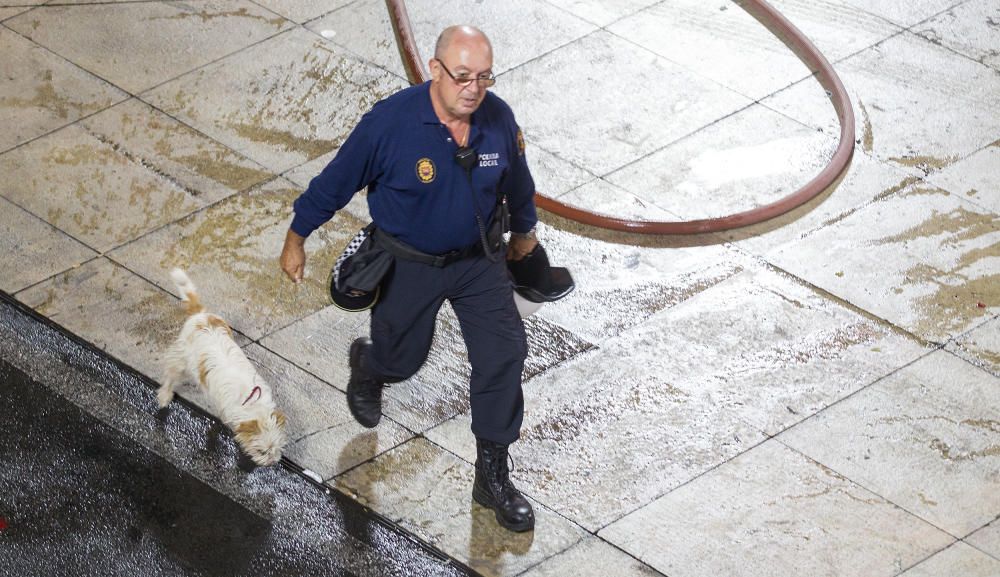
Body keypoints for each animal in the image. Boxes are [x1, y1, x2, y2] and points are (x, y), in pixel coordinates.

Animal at [158, 268, 288, 466]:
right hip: (180, 359)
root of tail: (201, 316)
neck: (251, 401)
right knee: (171, 374)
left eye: (277, 448)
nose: (272, 462)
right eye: (261, 451)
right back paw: (165, 395)